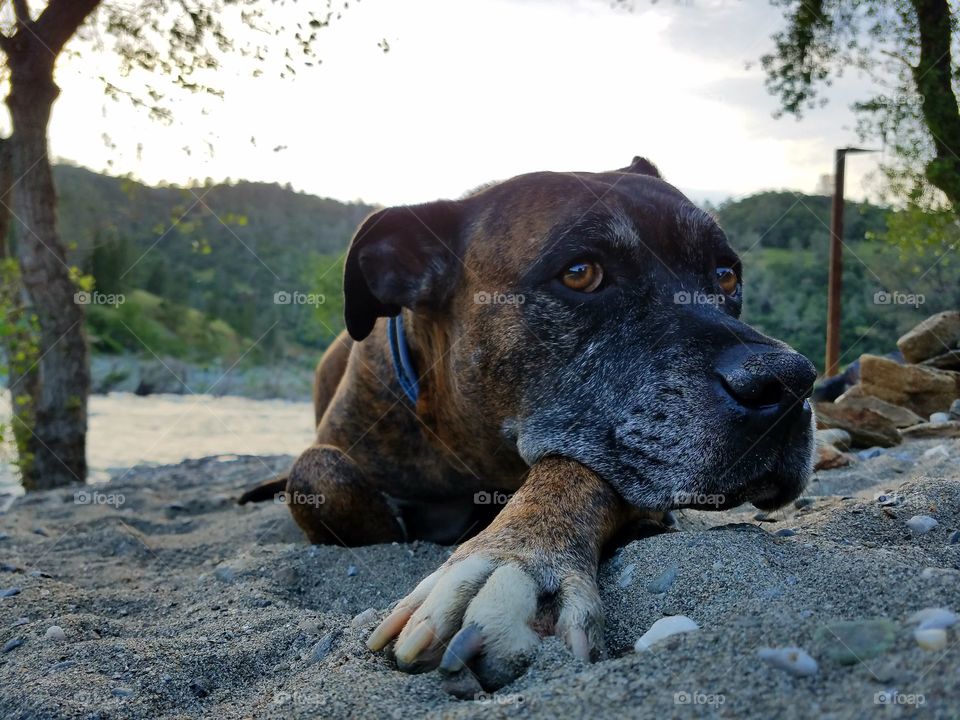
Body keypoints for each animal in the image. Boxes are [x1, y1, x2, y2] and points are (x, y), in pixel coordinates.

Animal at [242, 156, 816, 688]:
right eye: (581, 273)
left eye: (726, 275)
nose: (789, 382)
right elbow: (318, 472)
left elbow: (570, 472)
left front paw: (513, 556)